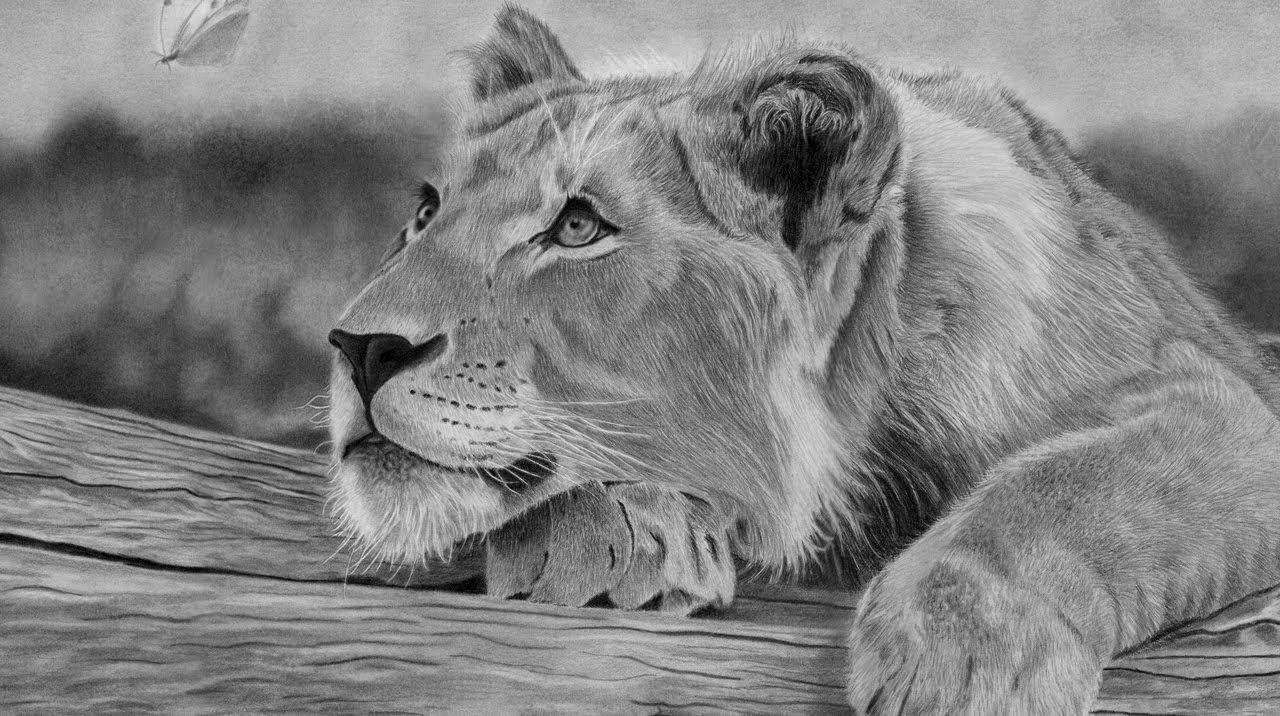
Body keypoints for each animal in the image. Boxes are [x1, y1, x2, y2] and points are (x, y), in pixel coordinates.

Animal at [325, 7, 1280, 712]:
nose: (359, 348)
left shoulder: (1217, 396)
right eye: (424, 213)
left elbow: (1075, 481)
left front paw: (958, 654)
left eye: (578, 227)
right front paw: (612, 532)